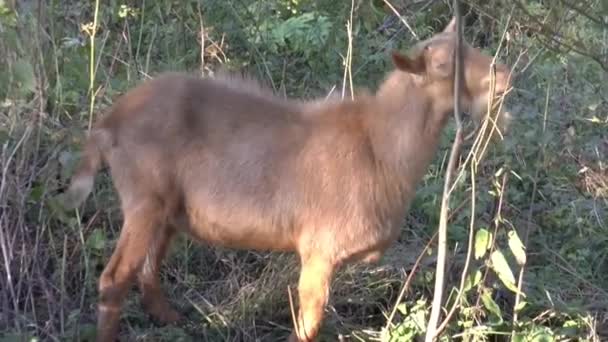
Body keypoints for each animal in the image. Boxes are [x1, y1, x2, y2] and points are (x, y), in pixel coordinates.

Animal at [60, 18, 512, 342]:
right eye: (442, 66)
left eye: (469, 46)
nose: (503, 77)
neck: (379, 145)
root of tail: (109, 123)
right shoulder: (319, 251)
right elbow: (308, 326)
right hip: (143, 199)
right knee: (114, 279)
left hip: (165, 210)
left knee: (148, 270)